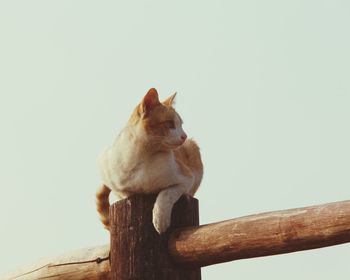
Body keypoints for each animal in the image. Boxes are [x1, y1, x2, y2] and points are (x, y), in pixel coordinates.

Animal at [97, 88, 204, 233]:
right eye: (170, 123)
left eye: (181, 125)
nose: (184, 136)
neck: (142, 157)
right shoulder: (113, 181)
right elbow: (126, 193)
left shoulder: (186, 178)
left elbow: (166, 194)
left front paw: (160, 220)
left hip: (192, 147)